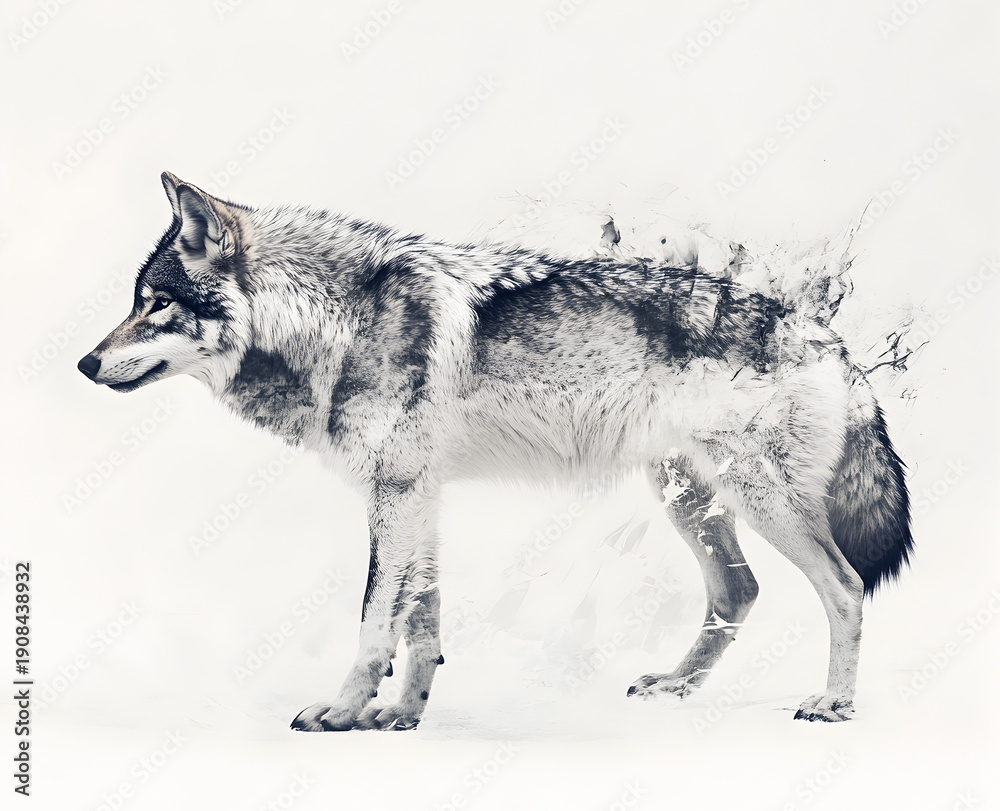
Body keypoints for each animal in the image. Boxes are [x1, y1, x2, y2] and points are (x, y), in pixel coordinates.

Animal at [78, 173, 912, 730]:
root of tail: (826, 336)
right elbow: (422, 622)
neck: (337, 322)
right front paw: (401, 716)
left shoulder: (397, 493)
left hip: (761, 502)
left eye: (156, 304)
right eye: (135, 301)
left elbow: (373, 620)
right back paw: (676, 687)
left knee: (844, 586)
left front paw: (343, 710)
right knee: (739, 591)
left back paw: (834, 702)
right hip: (690, 500)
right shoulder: (416, 492)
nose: (85, 363)